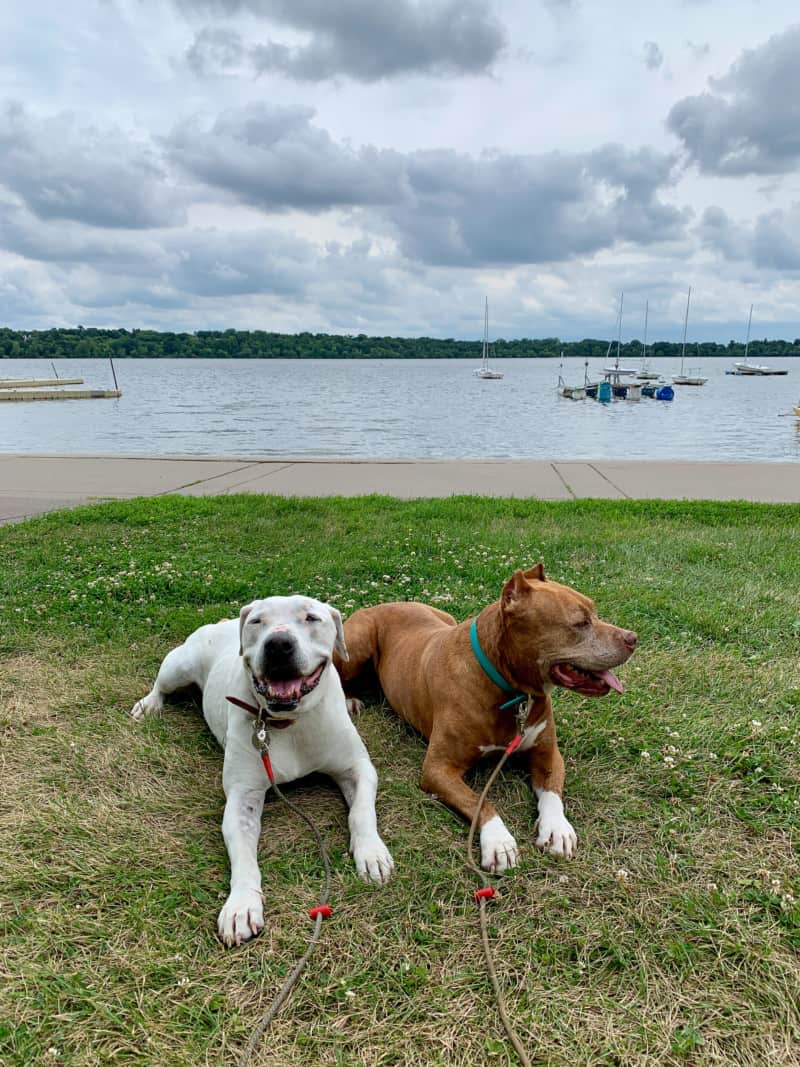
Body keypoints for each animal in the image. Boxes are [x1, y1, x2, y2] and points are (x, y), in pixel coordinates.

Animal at [131, 597, 394, 947]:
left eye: (311, 617)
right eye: (257, 621)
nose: (279, 644)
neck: (287, 723)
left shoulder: (357, 768)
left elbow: (362, 812)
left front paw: (371, 853)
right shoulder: (243, 796)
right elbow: (243, 856)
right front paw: (242, 904)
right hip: (178, 666)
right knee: (160, 685)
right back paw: (149, 705)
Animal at [339, 563, 640, 870]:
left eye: (595, 613)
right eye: (580, 623)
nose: (632, 638)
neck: (512, 690)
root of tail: (389, 603)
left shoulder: (548, 755)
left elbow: (552, 794)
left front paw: (557, 829)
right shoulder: (438, 770)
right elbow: (479, 802)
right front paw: (498, 841)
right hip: (357, 645)